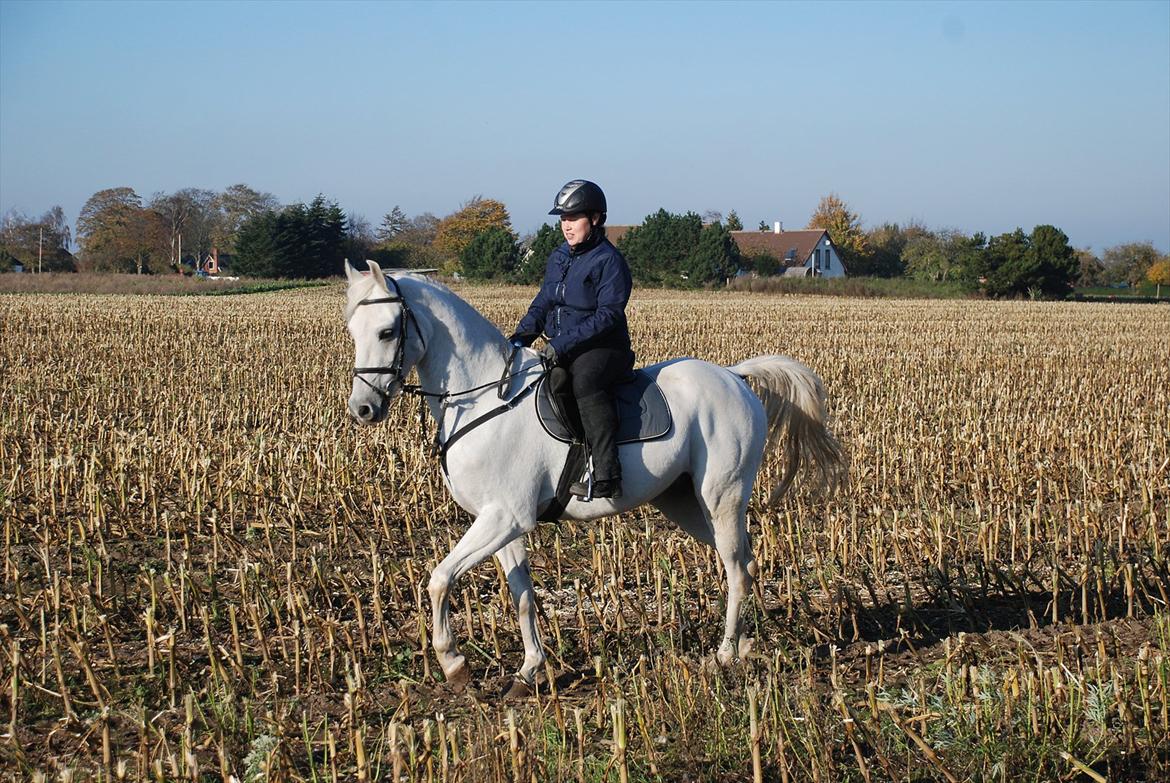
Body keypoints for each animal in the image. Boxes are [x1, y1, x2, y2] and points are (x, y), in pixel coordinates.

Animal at [341, 261, 847, 688]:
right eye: (352, 330)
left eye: (387, 331)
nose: (362, 410)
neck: (485, 397)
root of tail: (733, 375)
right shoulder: (499, 522)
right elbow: (522, 595)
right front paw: (530, 671)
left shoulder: (505, 518)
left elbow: (440, 578)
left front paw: (454, 663)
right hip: (687, 503)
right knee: (742, 561)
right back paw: (741, 645)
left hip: (722, 497)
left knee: (737, 569)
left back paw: (722, 656)